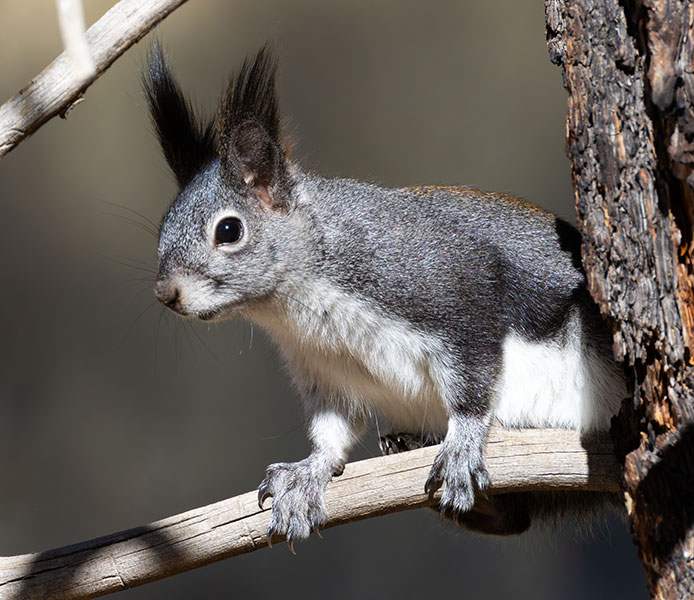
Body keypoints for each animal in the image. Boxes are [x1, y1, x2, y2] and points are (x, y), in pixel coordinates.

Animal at [143, 43, 625, 549]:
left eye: (229, 230)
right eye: (163, 226)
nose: (165, 293)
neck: (300, 302)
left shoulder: (453, 293)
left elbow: (473, 385)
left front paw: (463, 441)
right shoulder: (326, 371)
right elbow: (333, 430)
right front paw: (306, 474)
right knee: (512, 519)